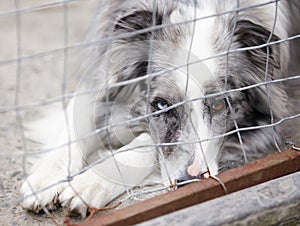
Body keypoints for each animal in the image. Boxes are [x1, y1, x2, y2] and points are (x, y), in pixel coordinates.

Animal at [21, 0, 300, 218]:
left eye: (220, 104)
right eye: (161, 105)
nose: (190, 181)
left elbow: (146, 142)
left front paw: (91, 183)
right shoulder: (102, 67)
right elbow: (76, 122)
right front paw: (45, 179)